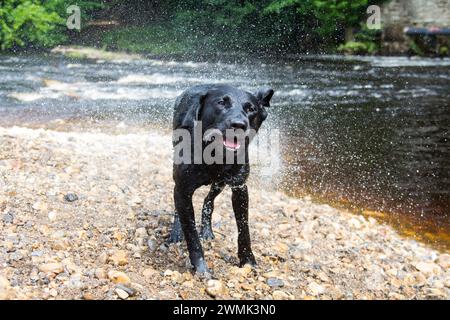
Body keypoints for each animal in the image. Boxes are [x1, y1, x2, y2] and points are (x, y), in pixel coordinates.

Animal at [170, 84, 272, 274]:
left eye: (251, 109)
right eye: (221, 103)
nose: (238, 124)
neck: (214, 154)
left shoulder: (240, 188)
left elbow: (244, 229)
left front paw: (248, 260)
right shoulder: (182, 189)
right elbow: (191, 232)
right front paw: (201, 268)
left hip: (220, 183)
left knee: (208, 201)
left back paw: (207, 230)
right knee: (178, 209)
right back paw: (176, 231)